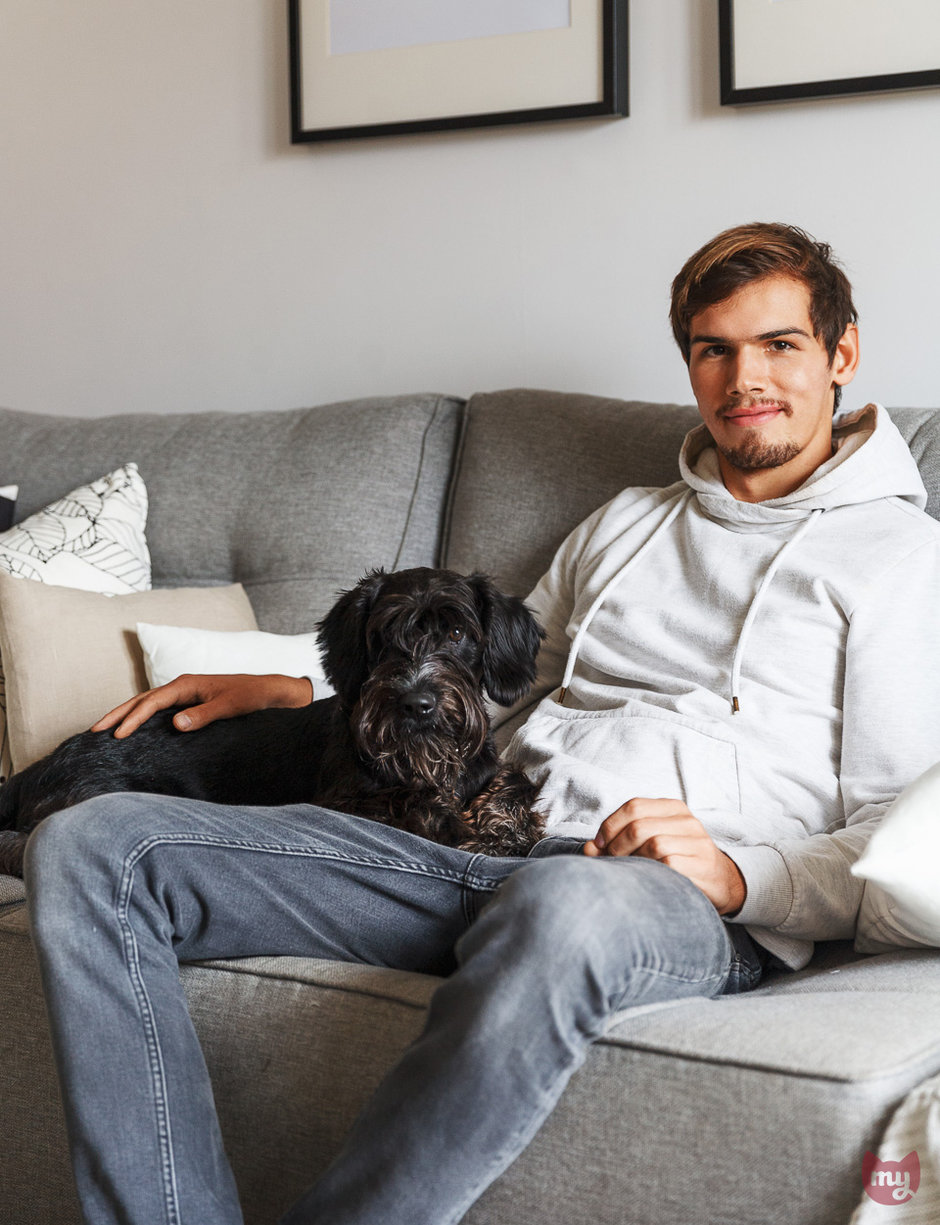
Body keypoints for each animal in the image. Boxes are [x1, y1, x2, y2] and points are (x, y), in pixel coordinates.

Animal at [0, 568, 544, 877]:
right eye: (383, 637)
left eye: (456, 633)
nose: (416, 703)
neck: (426, 761)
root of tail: (38, 766)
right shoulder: (344, 803)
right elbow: (415, 807)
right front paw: (459, 825)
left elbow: (517, 779)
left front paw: (504, 826)